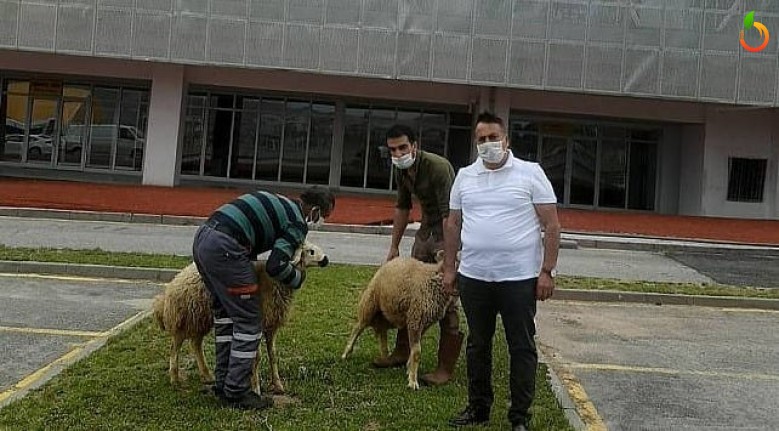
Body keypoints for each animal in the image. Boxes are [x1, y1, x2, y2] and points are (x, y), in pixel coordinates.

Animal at [154, 241, 328, 396]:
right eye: (311, 251)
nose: (326, 260)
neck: (275, 281)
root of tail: (173, 284)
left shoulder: (271, 324)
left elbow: (273, 355)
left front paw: (278, 385)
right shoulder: (258, 323)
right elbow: (256, 357)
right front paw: (256, 388)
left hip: (200, 319)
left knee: (195, 344)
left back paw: (207, 375)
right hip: (184, 318)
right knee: (175, 347)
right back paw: (175, 378)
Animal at [340, 250, 458, 392]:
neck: (433, 278)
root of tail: (392, 261)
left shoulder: (422, 323)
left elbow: (413, 349)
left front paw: (409, 369)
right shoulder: (415, 319)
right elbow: (417, 352)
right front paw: (413, 381)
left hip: (388, 312)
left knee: (382, 332)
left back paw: (384, 357)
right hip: (370, 303)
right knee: (358, 327)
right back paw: (346, 353)